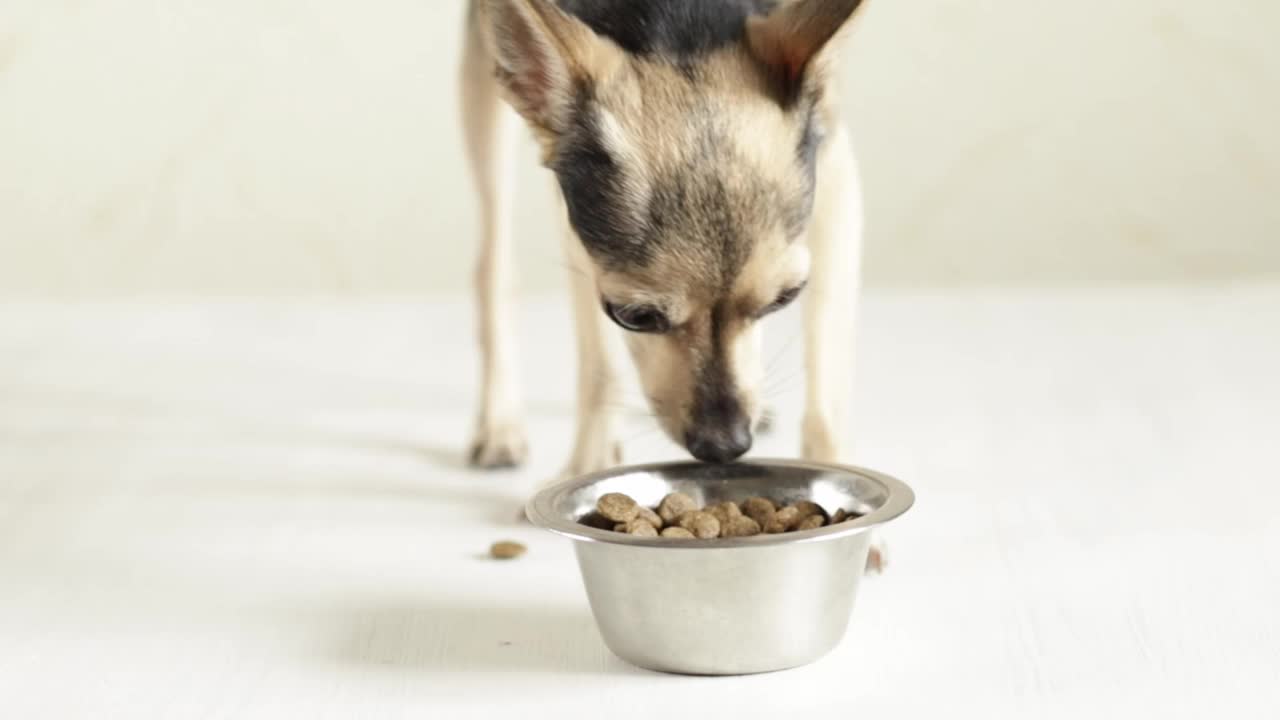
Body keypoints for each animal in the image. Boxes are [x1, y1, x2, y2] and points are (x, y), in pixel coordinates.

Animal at [455, 1, 865, 509]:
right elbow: (599, 364)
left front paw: (837, 475)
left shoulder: (833, 164)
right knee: (492, 265)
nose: (725, 446)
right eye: (635, 317)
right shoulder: (577, 217)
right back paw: (500, 423)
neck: (679, 26)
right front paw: (589, 463)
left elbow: (828, 362)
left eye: (784, 299)